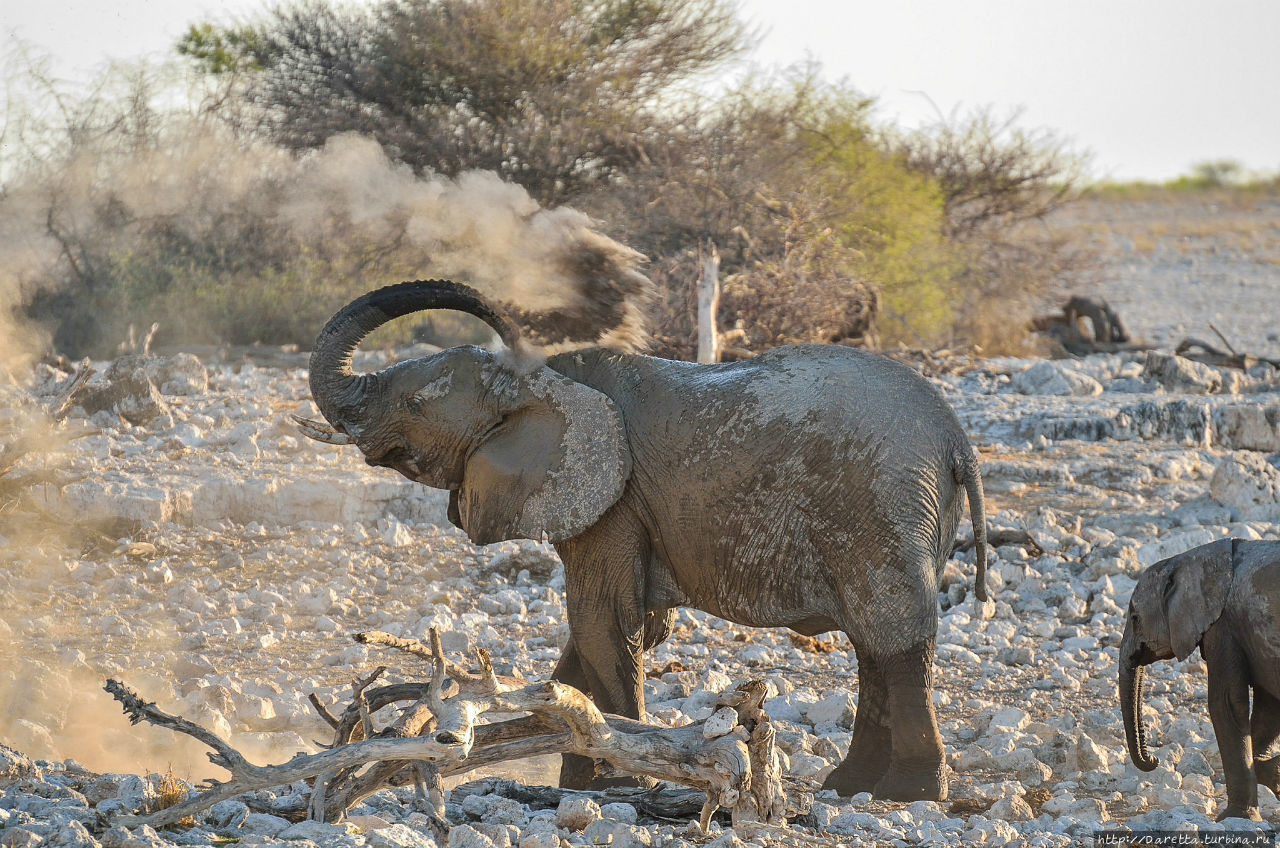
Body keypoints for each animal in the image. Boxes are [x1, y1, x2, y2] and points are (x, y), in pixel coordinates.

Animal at [299, 280, 988, 804]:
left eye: (415, 404)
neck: (541, 382)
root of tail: (958, 441)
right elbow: (597, 636)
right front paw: (582, 780)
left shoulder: (614, 500)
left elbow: (605, 622)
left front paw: (622, 784)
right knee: (875, 645)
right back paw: (850, 787)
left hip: (882, 505)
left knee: (897, 641)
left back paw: (911, 794)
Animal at [1121, 538, 1280, 824]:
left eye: (1135, 618)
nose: (1154, 760)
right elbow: (1269, 707)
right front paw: (1274, 774)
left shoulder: (1223, 625)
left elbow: (1226, 704)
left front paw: (1234, 818)